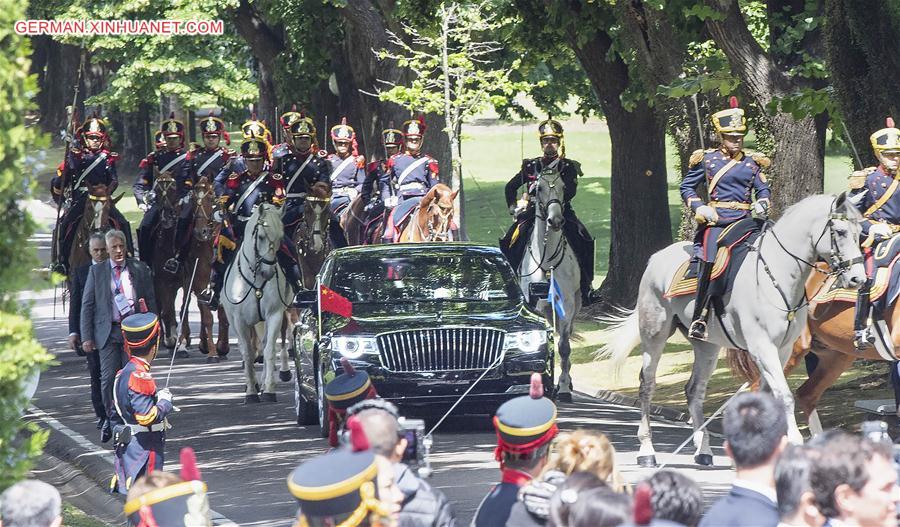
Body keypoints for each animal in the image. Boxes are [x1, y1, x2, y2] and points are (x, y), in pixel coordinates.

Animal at [180, 177, 232, 364]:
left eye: (210, 198)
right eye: (194, 199)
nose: (199, 231)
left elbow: (223, 316)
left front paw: (222, 347)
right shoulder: (199, 283)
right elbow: (208, 318)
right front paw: (213, 352)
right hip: (187, 280)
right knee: (186, 306)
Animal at [223, 202, 294, 404]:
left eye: (280, 238)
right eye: (261, 236)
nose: (268, 273)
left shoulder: (275, 314)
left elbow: (269, 349)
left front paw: (269, 389)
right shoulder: (239, 320)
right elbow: (247, 352)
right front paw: (251, 393)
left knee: (266, 343)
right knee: (245, 347)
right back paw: (253, 384)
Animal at [520, 168, 584, 400]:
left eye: (564, 187)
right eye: (538, 188)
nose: (555, 220)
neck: (547, 261)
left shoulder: (566, 306)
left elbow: (564, 346)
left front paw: (563, 386)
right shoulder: (537, 306)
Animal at [596, 194, 864, 466]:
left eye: (860, 232)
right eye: (840, 231)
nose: (858, 279)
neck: (778, 274)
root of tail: (657, 257)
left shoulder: (783, 349)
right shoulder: (762, 347)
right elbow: (784, 395)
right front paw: (793, 444)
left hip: (707, 345)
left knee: (694, 390)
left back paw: (703, 449)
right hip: (654, 333)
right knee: (647, 385)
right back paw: (647, 450)